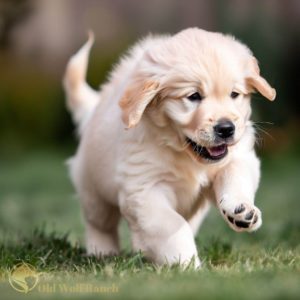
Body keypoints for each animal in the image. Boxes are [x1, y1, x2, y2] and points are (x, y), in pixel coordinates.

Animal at [63, 27, 274, 268]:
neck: (183, 152)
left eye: (234, 94)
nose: (226, 128)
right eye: (193, 96)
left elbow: (235, 177)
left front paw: (241, 211)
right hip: (94, 191)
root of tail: (92, 113)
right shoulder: (144, 189)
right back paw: (103, 252)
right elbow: (172, 227)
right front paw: (187, 264)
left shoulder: (238, 157)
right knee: (99, 224)